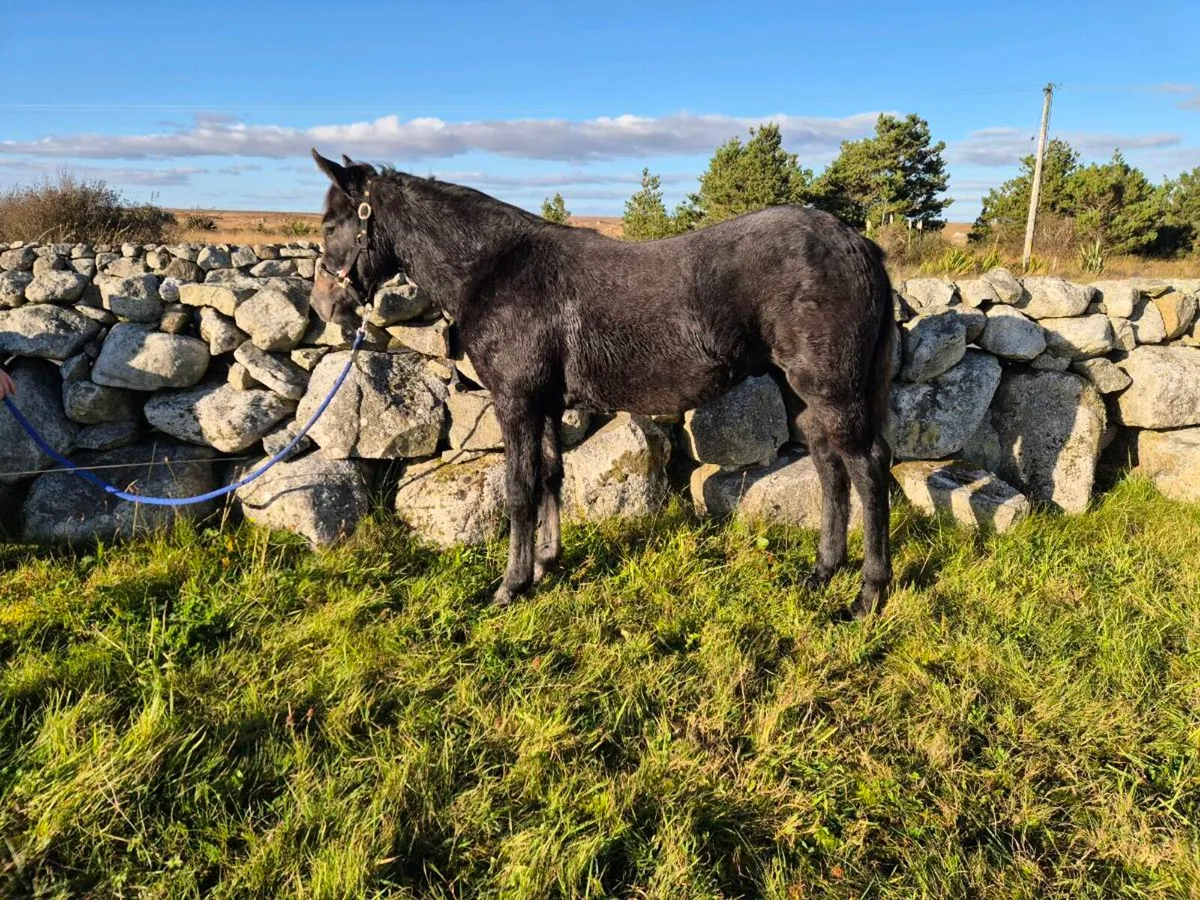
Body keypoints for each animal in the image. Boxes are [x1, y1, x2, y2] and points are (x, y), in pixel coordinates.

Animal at [309, 149, 895, 618]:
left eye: (333, 224)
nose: (324, 305)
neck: (495, 270)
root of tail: (857, 243)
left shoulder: (517, 402)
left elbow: (519, 489)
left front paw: (510, 585)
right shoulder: (545, 404)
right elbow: (550, 477)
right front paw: (546, 564)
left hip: (833, 392)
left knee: (867, 469)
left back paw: (868, 595)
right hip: (803, 393)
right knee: (829, 466)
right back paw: (823, 571)